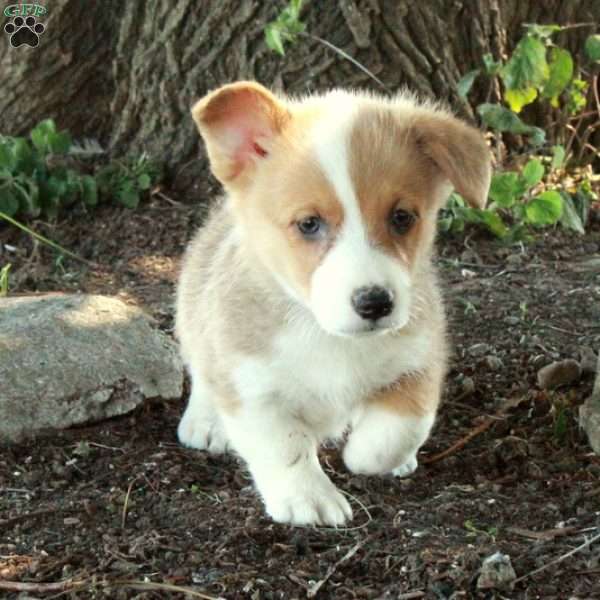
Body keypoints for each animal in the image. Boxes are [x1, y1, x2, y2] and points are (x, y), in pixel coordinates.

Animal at [175, 81, 492, 524]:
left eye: (402, 217)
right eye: (309, 224)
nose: (374, 303)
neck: (325, 333)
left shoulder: (419, 360)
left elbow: (394, 433)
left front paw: (369, 455)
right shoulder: (252, 387)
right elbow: (284, 447)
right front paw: (308, 500)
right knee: (201, 371)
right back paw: (204, 423)